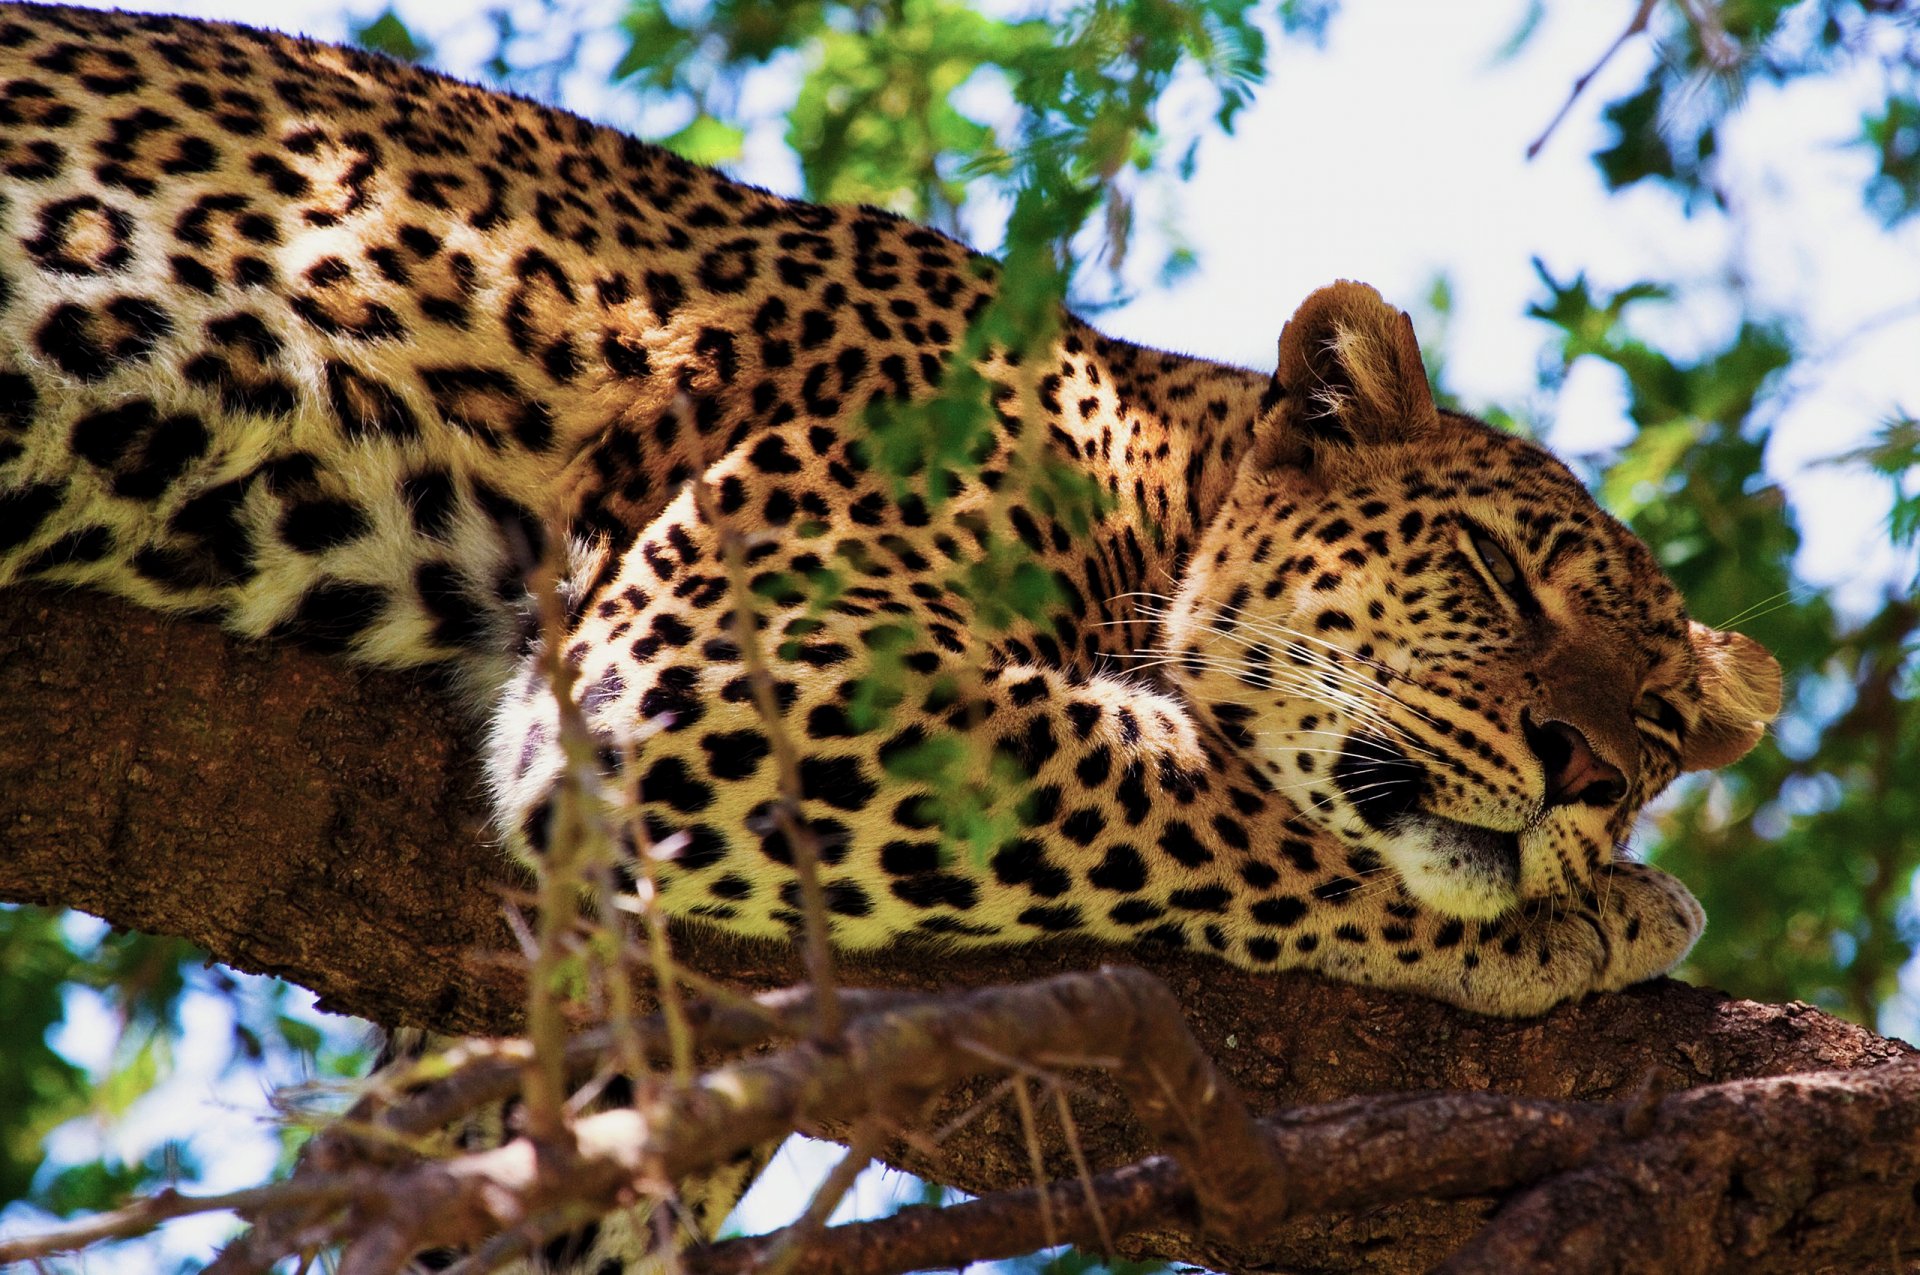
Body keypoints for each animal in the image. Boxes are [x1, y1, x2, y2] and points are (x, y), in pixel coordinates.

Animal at [0, 0, 1781, 1214]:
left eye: (1661, 721)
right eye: (1493, 572)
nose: (1588, 775)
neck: (1142, 471)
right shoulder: (729, 657)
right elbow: (1191, 788)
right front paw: (1581, 915)